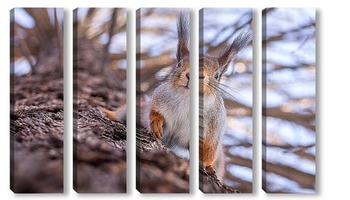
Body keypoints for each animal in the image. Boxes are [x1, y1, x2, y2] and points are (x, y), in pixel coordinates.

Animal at [100, 14, 250, 181]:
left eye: (217, 76)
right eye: (178, 64)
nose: (192, 75)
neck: (189, 101)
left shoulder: (214, 126)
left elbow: (209, 149)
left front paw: (207, 165)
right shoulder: (159, 98)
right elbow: (155, 111)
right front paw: (157, 122)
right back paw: (108, 113)